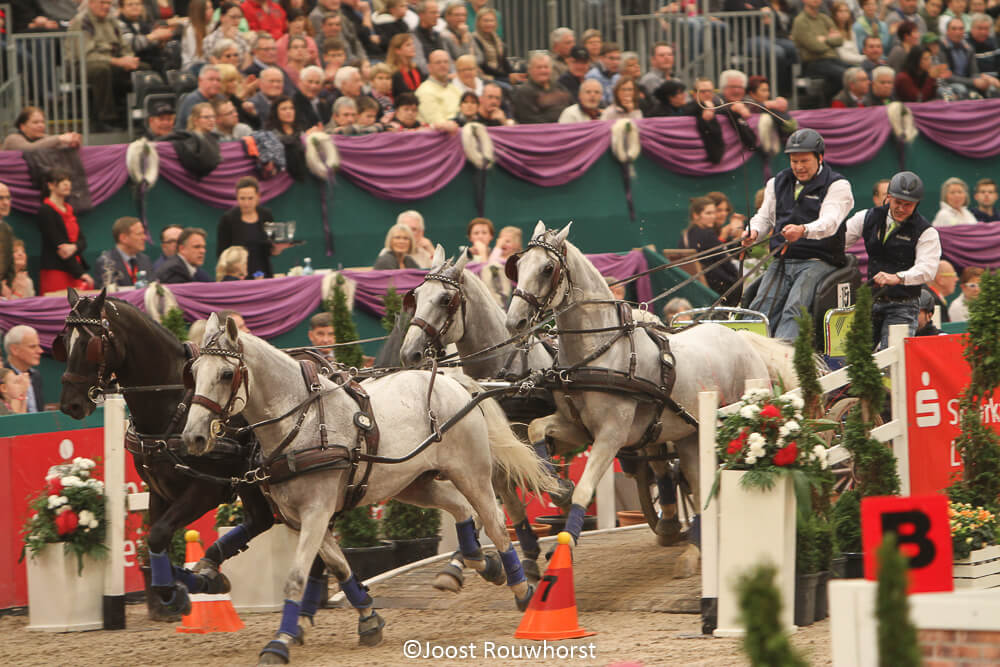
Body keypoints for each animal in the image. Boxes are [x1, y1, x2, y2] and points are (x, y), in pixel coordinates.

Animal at [180, 316, 556, 664]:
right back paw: (479, 562)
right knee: (461, 509)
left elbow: (297, 578)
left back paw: (521, 588)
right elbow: (341, 568)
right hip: (412, 482)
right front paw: (368, 619)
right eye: (193, 371)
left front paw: (279, 643)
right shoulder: (299, 519)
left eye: (226, 374)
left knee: (496, 523)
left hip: (471, 472)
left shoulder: (317, 512)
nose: (193, 436)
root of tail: (454, 383)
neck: (302, 423)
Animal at [504, 224, 800, 568]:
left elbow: (584, 490)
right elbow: (537, 428)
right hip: (689, 435)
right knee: (697, 483)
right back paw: (693, 551)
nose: (514, 321)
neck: (602, 351)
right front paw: (556, 486)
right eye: (518, 265)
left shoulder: (612, 435)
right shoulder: (578, 428)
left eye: (548, 268)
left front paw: (566, 547)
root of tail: (742, 338)